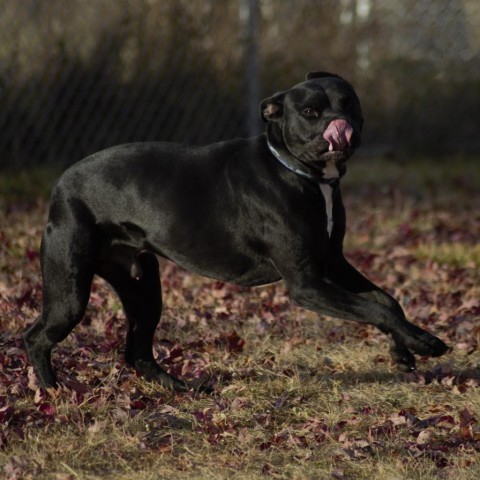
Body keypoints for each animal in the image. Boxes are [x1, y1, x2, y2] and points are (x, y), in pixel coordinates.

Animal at [24, 72, 448, 390]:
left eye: (349, 103)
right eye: (310, 112)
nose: (338, 126)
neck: (297, 171)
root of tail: (62, 184)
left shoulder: (332, 263)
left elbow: (387, 301)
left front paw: (404, 351)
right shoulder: (308, 283)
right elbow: (375, 308)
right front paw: (425, 343)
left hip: (142, 287)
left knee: (137, 351)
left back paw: (180, 388)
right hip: (71, 291)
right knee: (37, 336)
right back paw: (52, 391)